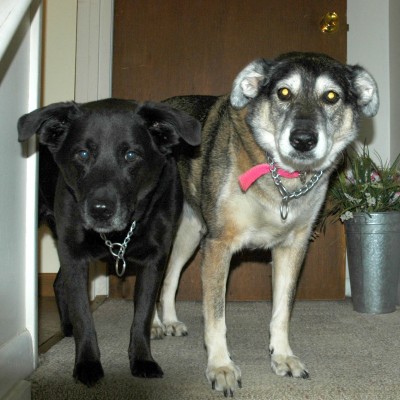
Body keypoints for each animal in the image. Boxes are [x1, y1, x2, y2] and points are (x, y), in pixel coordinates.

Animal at [17, 98, 202, 386]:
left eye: (131, 155)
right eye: (83, 154)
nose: (100, 210)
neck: (120, 233)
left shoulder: (154, 260)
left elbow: (142, 317)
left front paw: (142, 360)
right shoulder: (74, 255)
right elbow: (84, 316)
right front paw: (87, 365)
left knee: (58, 282)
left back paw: (66, 327)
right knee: (64, 286)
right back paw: (69, 327)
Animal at [152, 53, 378, 396]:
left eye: (331, 97)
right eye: (283, 93)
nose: (302, 140)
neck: (282, 179)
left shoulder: (292, 247)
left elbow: (281, 311)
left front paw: (282, 357)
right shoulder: (219, 245)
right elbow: (215, 317)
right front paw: (221, 367)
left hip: (191, 234)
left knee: (170, 277)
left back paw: (169, 320)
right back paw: (152, 325)